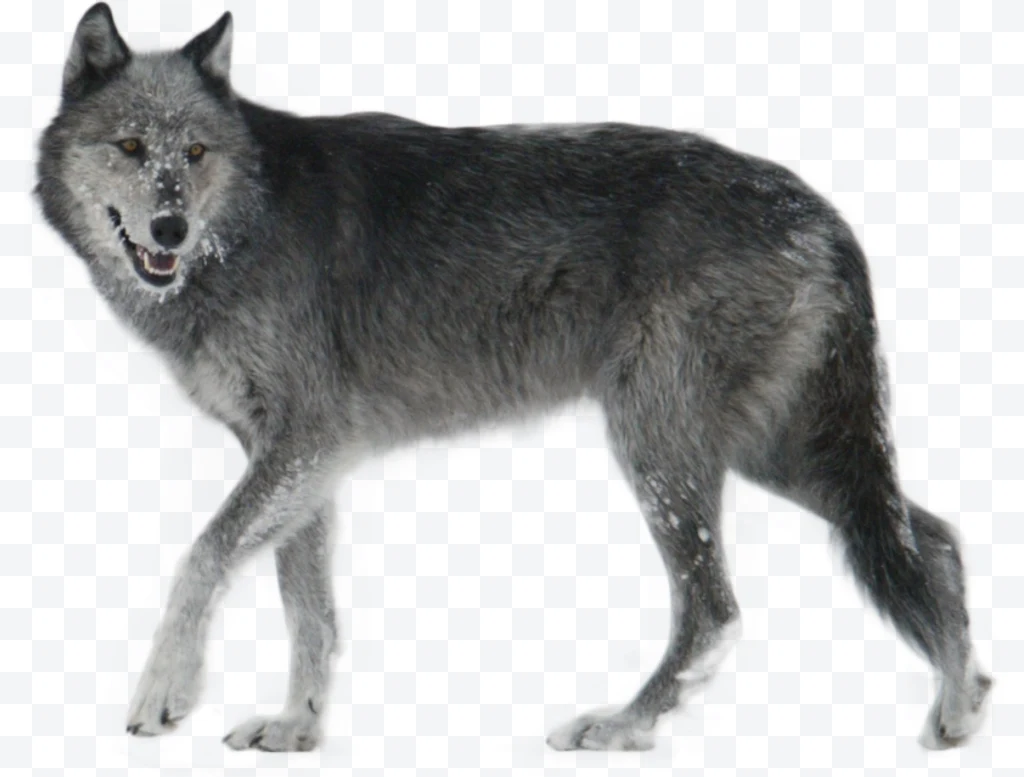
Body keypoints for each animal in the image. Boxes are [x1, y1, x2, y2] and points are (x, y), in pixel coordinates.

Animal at [35, 3, 991, 753]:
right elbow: (308, 607)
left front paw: (165, 693)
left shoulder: (306, 440)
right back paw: (960, 709)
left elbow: (202, 556)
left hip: (664, 448)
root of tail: (823, 210)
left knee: (716, 607)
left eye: (195, 152)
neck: (248, 223)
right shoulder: (300, 458)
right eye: (131, 146)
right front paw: (297, 727)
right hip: (778, 453)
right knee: (934, 537)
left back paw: (620, 725)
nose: (169, 227)